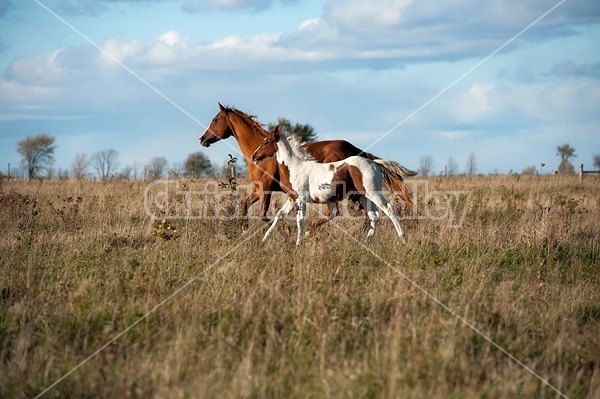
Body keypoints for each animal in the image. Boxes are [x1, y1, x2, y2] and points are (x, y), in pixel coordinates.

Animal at [199, 104, 414, 231]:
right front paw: (244, 229)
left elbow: (263, 214)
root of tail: (357, 151)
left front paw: (286, 230)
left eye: (215, 119)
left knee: (351, 213)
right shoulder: (258, 188)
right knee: (366, 213)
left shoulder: (266, 188)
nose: (202, 139)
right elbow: (245, 206)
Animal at [248, 128, 408, 245]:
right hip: (363, 196)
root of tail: (374, 163)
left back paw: (403, 238)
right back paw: (367, 241)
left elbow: (300, 221)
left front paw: (299, 244)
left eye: (266, 142)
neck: (296, 167)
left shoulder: (300, 200)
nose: (253, 157)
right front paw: (264, 239)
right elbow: (279, 214)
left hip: (372, 193)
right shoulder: (292, 198)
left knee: (389, 209)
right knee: (374, 216)